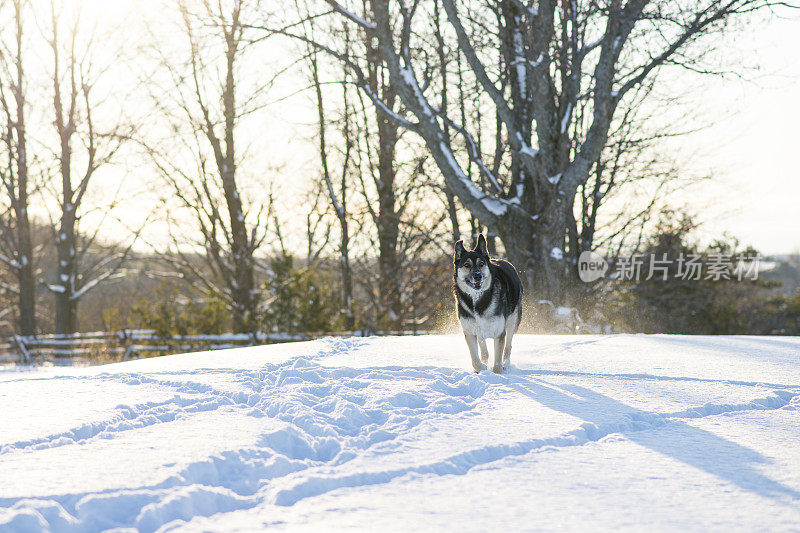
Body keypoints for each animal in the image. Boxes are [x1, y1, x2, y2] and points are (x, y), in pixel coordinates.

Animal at [454, 235, 520, 372]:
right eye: (467, 265)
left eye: (481, 264)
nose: (477, 276)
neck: (477, 299)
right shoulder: (470, 332)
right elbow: (475, 359)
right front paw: (482, 368)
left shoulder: (499, 332)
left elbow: (498, 361)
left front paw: (497, 373)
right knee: (484, 349)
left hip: (513, 321)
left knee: (508, 346)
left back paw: (506, 364)